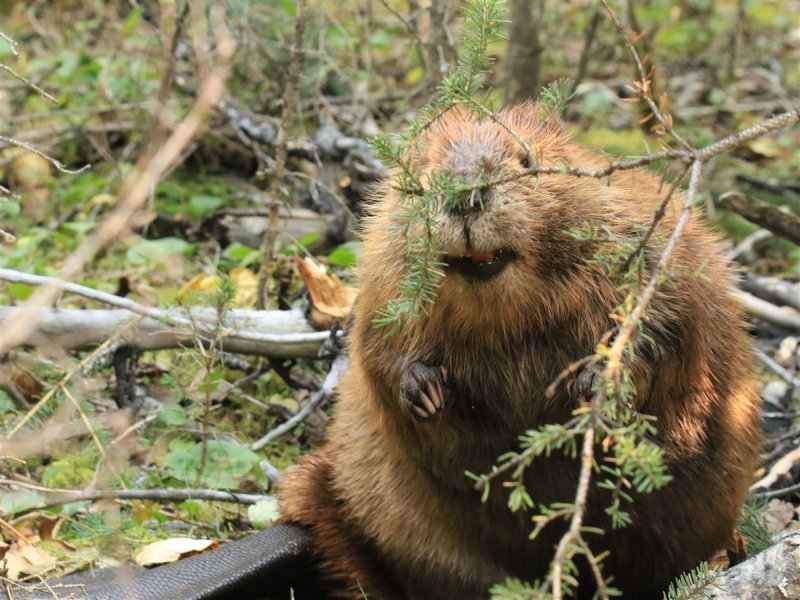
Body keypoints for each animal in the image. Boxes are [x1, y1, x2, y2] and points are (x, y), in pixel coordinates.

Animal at [278, 104, 760, 600]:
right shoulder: (381, 274)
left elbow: (666, 324)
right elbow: (378, 345)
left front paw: (595, 382)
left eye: (526, 160)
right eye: (427, 173)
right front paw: (425, 390)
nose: (465, 195)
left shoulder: (648, 238)